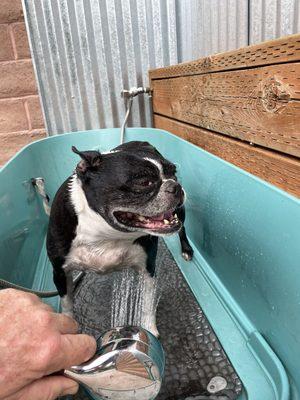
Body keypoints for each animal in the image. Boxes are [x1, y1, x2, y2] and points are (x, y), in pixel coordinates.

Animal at [46, 139, 193, 336]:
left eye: (174, 173)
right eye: (144, 182)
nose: (175, 185)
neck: (106, 234)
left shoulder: (148, 268)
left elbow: (147, 303)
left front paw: (149, 327)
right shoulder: (60, 273)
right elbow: (67, 304)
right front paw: (68, 326)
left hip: (180, 213)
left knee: (182, 228)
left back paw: (186, 250)